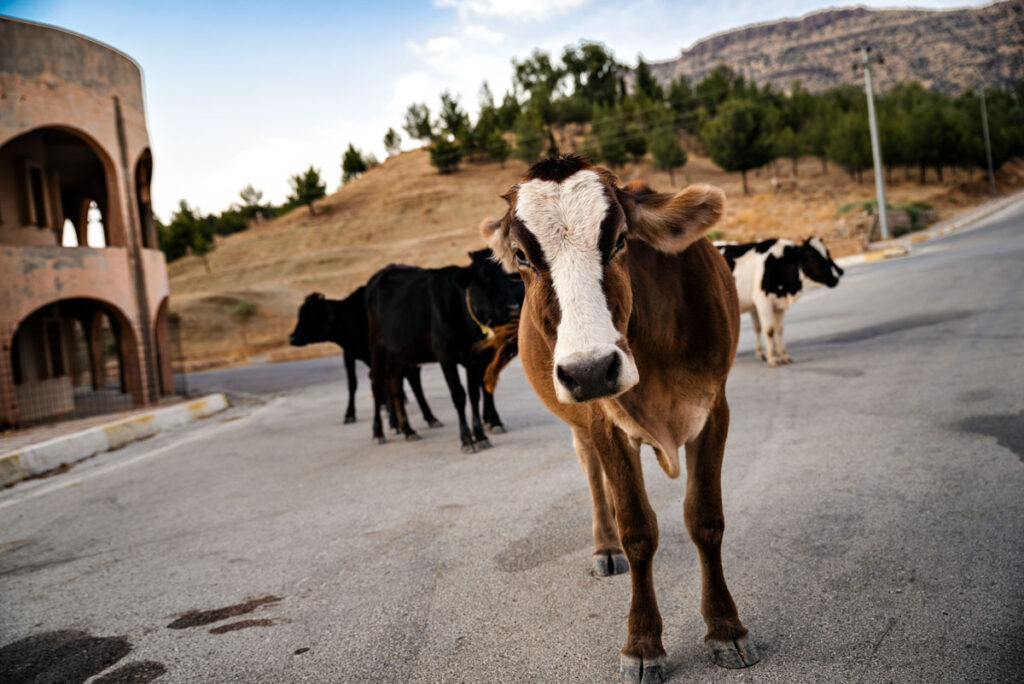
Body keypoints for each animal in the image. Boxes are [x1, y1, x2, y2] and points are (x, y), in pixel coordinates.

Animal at [288, 286, 440, 428]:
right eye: (300, 314)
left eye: (311, 316)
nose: (292, 337)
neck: (350, 320)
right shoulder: (349, 354)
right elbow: (353, 383)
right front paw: (350, 414)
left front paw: (394, 421)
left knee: (410, 377)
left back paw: (425, 415)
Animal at [368, 248, 524, 450]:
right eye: (484, 279)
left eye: (507, 277)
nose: (512, 308)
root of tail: (380, 275)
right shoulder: (446, 357)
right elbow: (459, 395)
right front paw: (467, 439)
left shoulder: (475, 358)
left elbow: (475, 393)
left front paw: (480, 435)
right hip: (377, 345)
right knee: (377, 383)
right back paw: (378, 432)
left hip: (398, 352)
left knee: (395, 384)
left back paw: (408, 430)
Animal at [481, 156, 761, 684]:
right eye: (523, 256)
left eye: (618, 241)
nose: (591, 369)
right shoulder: (604, 423)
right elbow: (638, 531)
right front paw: (643, 643)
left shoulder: (715, 409)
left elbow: (705, 519)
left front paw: (725, 627)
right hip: (580, 425)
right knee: (596, 480)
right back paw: (605, 545)